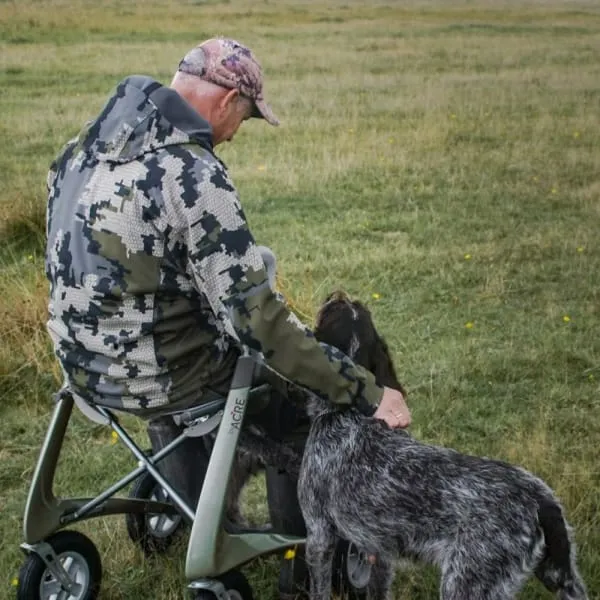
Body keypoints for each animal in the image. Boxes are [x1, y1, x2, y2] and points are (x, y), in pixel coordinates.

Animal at [298, 288, 588, 596]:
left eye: (333, 308)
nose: (338, 292)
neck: (350, 413)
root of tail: (542, 500)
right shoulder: (379, 549)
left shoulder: (319, 534)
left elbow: (319, 589)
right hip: (563, 577)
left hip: (467, 581)